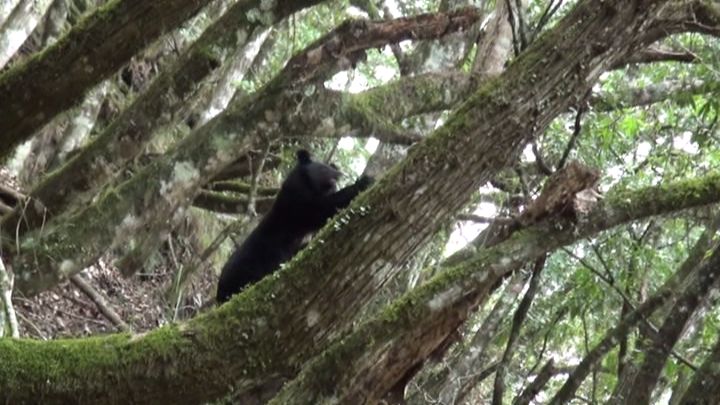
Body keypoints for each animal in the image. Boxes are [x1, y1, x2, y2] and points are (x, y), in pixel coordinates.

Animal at [217, 147, 374, 302]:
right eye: (323, 168)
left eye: (332, 170)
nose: (338, 175)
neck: (307, 183)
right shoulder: (297, 204)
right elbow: (320, 209)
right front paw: (362, 182)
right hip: (249, 267)